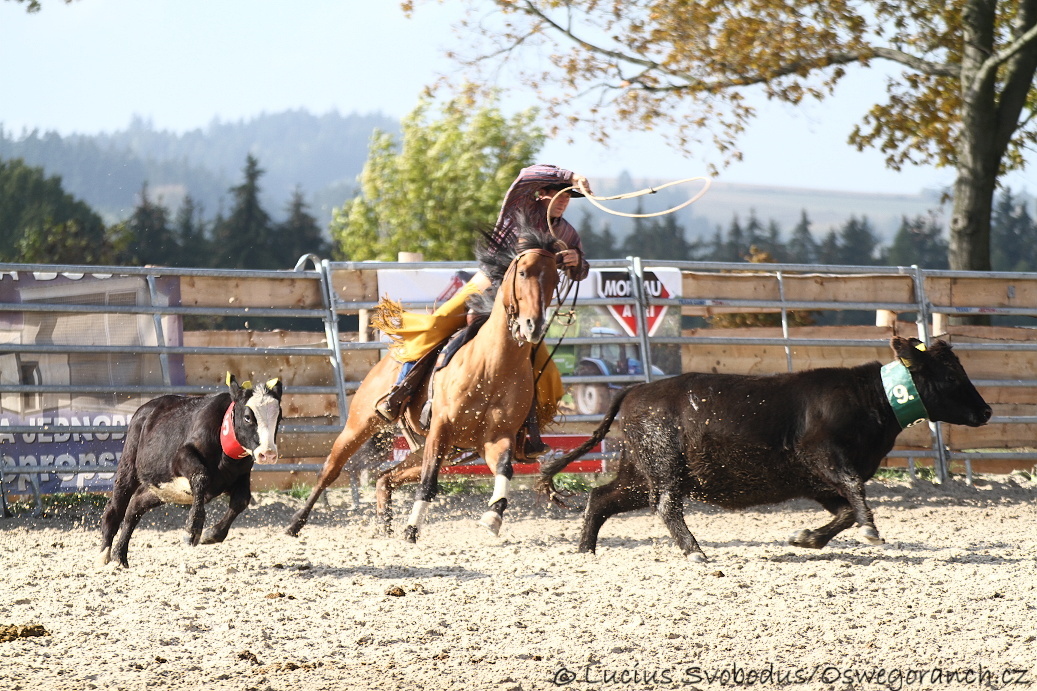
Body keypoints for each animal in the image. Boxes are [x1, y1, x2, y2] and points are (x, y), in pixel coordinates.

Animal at [98, 377, 282, 564]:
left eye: (279, 417)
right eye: (247, 417)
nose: (268, 453)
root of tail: (145, 409)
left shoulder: (241, 475)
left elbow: (242, 500)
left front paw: (211, 534)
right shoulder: (181, 457)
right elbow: (201, 477)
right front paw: (192, 530)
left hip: (162, 487)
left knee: (135, 507)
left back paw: (120, 555)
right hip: (129, 466)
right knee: (115, 509)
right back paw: (105, 554)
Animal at [286, 226, 568, 539]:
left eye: (555, 279)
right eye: (523, 272)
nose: (533, 325)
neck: (491, 368)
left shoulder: (498, 437)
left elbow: (504, 469)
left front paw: (493, 517)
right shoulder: (441, 429)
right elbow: (429, 482)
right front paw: (412, 528)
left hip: (441, 451)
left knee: (386, 476)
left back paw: (384, 526)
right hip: (361, 423)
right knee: (330, 469)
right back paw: (295, 523)